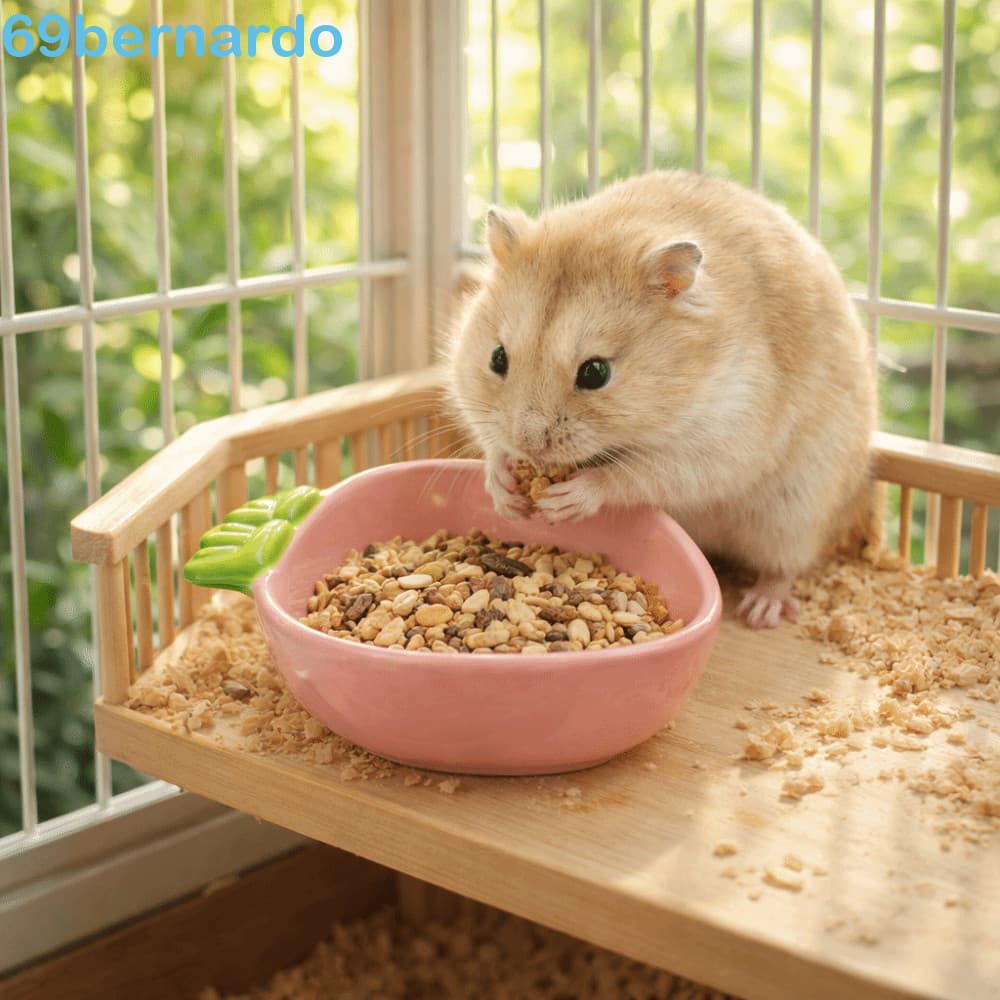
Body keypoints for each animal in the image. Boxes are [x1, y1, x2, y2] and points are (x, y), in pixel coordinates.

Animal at [444, 170, 879, 628]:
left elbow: (630, 476)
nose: (529, 445)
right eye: (497, 357)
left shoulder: (718, 444)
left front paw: (565, 500)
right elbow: (492, 446)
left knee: (784, 566)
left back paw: (762, 610)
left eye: (595, 373)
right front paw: (504, 492)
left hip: (796, 512)